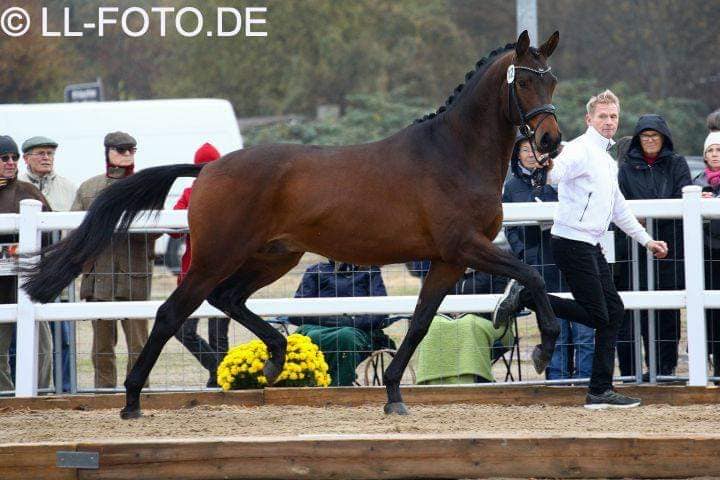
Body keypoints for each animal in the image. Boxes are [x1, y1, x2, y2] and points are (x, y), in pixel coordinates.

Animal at [22, 30, 564, 418]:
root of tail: (208, 169)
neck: (452, 155)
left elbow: (421, 322)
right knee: (174, 312)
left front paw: (393, 395)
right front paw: (544, 348)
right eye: (524, 81)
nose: (551, 141)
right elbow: (532, 275)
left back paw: (277, 356)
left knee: (228, 299)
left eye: (552, 80)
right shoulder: (466, 247)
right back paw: (133, 401)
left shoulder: (447, 260)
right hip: (216, 257)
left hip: (273, 256)